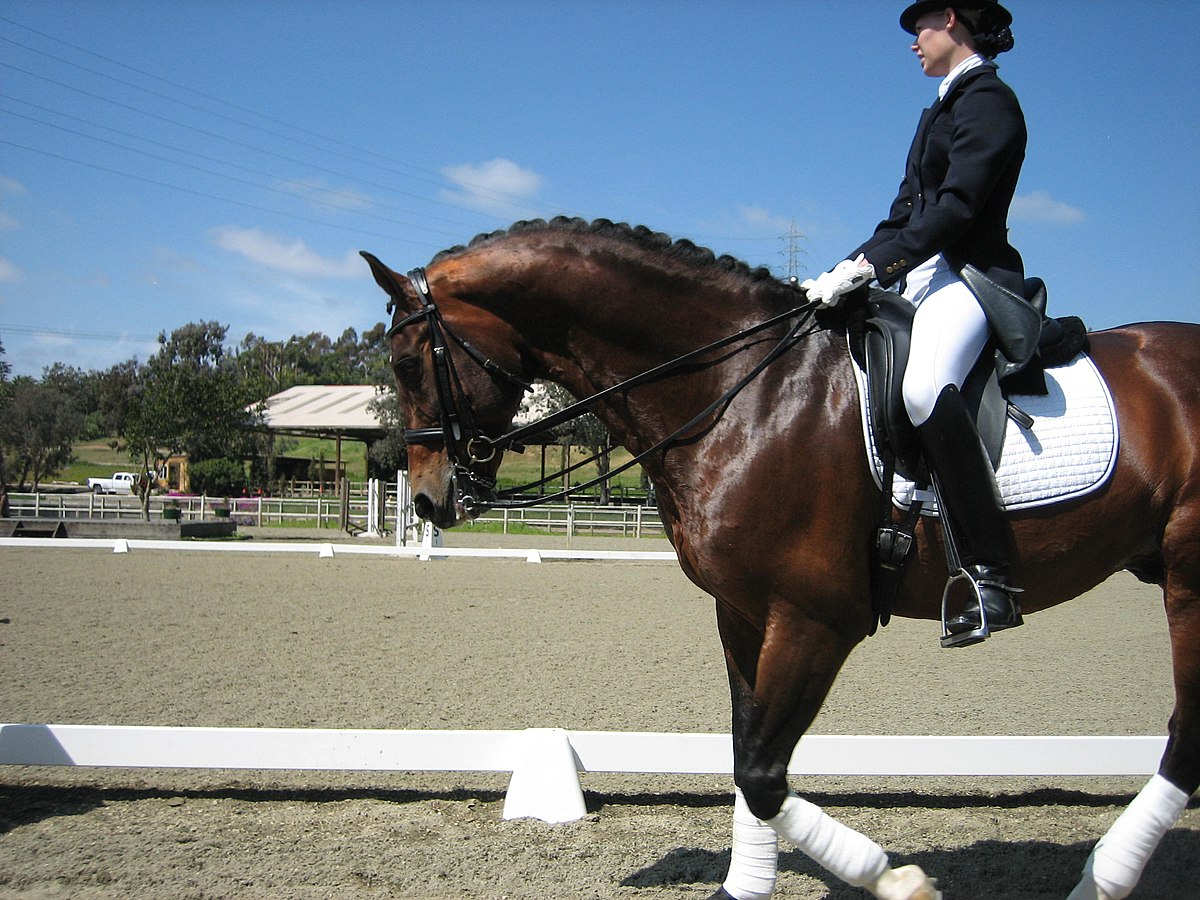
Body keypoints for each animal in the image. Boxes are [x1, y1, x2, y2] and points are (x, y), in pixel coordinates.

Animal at [362, 218, 1200, 900]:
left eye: (406, 365)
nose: (429, 499)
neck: (743, 389)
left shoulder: (814, 620)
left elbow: (765, 773)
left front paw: (894, 878)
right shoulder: (742, 613)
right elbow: (746, 757)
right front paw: (747, 884)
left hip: (1189, 579)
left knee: (1185, 735)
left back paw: (1101, 879)